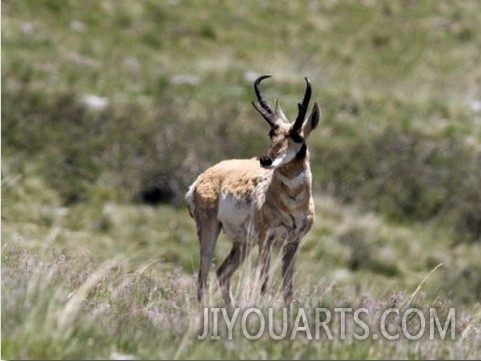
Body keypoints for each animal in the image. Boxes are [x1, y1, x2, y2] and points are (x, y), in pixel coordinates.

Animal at [186, 75, 320, 306]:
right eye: (271, 132)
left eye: (298, 137)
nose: (266, 160)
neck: (291, 204)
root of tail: (202, 178)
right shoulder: (266, 240)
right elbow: (264, 284)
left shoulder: (293, 243)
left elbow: (288, 290)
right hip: (210, 230)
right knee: (203, 277)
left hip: (242, 243)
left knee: (222, 273)